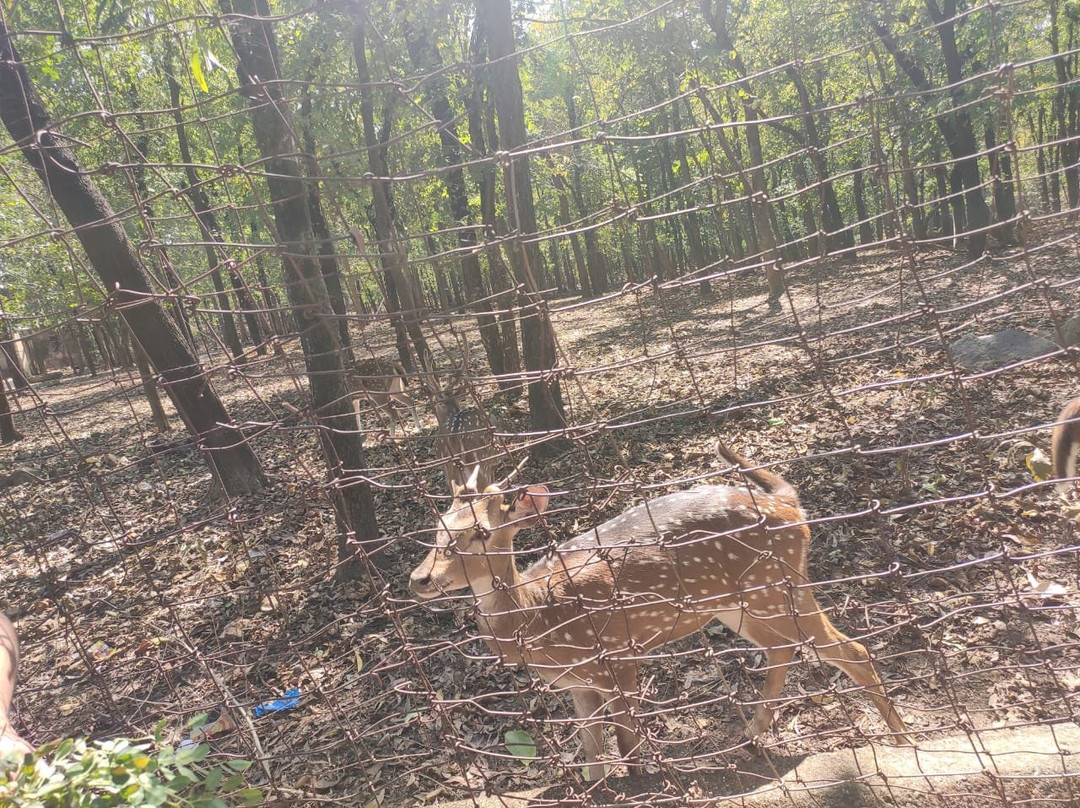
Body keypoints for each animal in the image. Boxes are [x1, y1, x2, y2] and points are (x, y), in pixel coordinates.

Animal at [409, 445, 912, 781]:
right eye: (438, 527)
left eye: (480, 533)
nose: (420, 578)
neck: (540, 615)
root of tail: (792, 506)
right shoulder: (579, 683)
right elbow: (592, 755)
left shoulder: (619, 656)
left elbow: (627, 742)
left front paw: (642, 779)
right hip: (741, 604)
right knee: (783, 649)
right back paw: (750, 736)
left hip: (777, 585)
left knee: (852, 649)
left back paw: (903, 741)